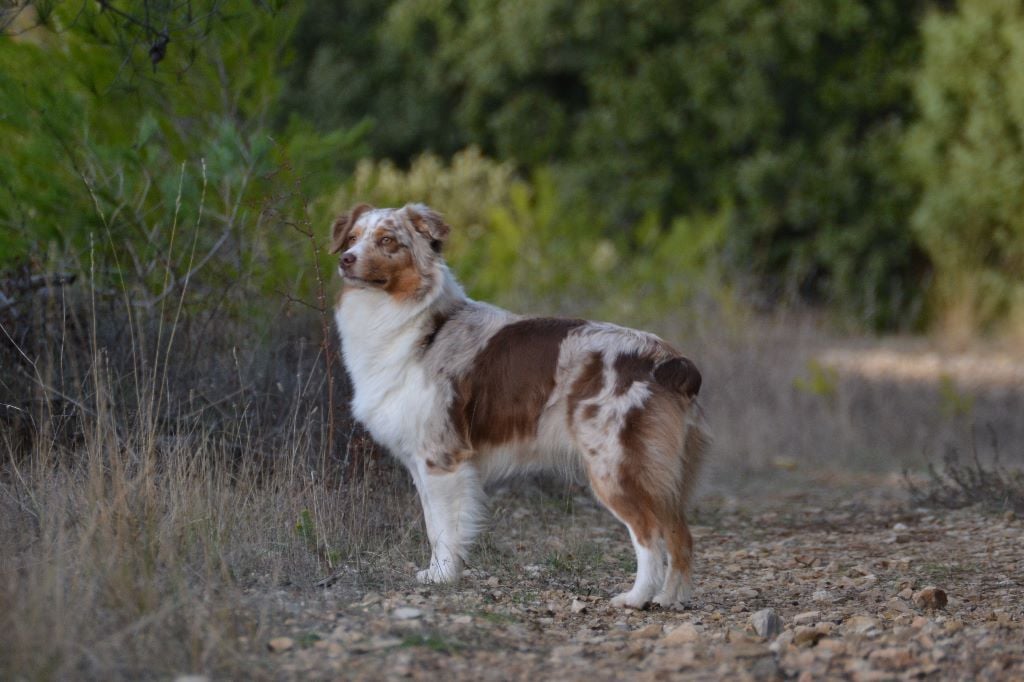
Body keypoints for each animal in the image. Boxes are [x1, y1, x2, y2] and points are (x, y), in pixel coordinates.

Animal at [331, 200, 708, 606]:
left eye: (387, 240)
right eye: (352, 238)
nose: (347, 260)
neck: (420, 325)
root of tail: (669, 359)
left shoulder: (442, 457)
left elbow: (445, 528)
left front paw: (445, 576)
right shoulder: (422, 461)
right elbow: (433, 525)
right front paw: (435, 574)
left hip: (614, 466)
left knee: (649, 534)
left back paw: (636, 598)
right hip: (664, 475)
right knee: (681, 535)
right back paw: (669, 598)